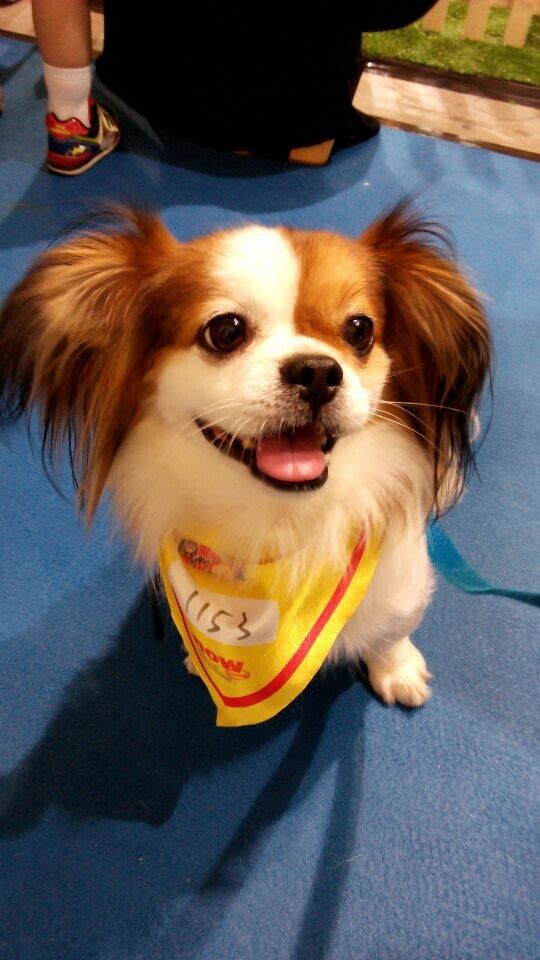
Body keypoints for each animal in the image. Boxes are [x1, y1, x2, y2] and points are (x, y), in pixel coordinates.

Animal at [0, 203, 491, 718]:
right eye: (226, 330)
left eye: (360, 330)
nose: (318, 371)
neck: (277, 521)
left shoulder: (401, 585)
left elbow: (392, 630)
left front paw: (396, 668)